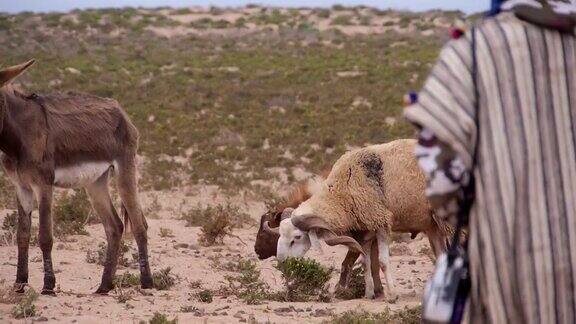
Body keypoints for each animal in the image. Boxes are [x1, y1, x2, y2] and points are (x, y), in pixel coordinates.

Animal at [0, 60, 152, 296]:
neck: (20, 135)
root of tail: (120, 110)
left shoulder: (43, 185)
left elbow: (45, 236)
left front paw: (48, 286)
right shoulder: (21, 186)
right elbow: (22, 235)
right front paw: (20, 283)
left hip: (125, 170)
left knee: (138, 224)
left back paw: (146, 283)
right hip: (96, 183)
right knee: (115, 226)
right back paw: (104, 286)